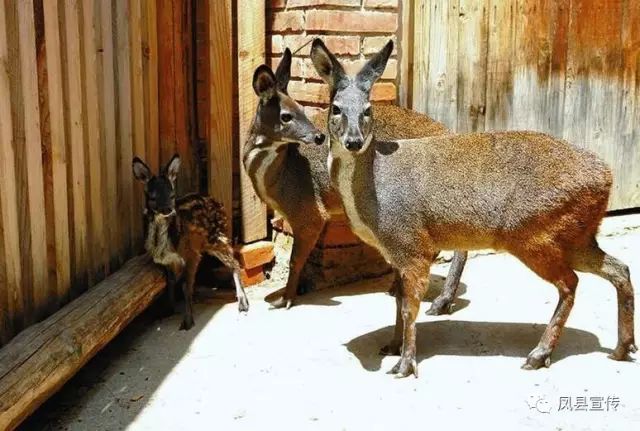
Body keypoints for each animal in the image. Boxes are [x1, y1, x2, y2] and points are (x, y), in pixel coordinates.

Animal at [133, 155, 250, 330]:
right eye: (153, 197)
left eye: (172, 194)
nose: (168, 210)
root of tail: (220, 205)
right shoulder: (166, 260)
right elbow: (171, 282)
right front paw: (168, 310)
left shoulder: (191, 252)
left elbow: (186, 286)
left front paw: (187, 321)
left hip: (215, 237)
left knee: (234, 261)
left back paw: (243, 303)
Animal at [242, 49, 468, 314]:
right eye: (286, 116)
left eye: (301, 109)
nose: (318, 136)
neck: (280, 175)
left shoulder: (309, 211)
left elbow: (295, 259)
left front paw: (286, 299)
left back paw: (440, 300)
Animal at [310, 38, 636, 380]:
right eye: (336, 108)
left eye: (368, 109)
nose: (354, 141)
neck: (374, 193)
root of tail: (606, 177)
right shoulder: (396, 253)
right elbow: (398, 301)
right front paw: (392, 346)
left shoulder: (412, 244)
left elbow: (409, 307)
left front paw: (405, 364)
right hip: (577, 235)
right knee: (619, 268)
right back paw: (621, 348)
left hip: (535, 234)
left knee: (570, 283)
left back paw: (539, 354)